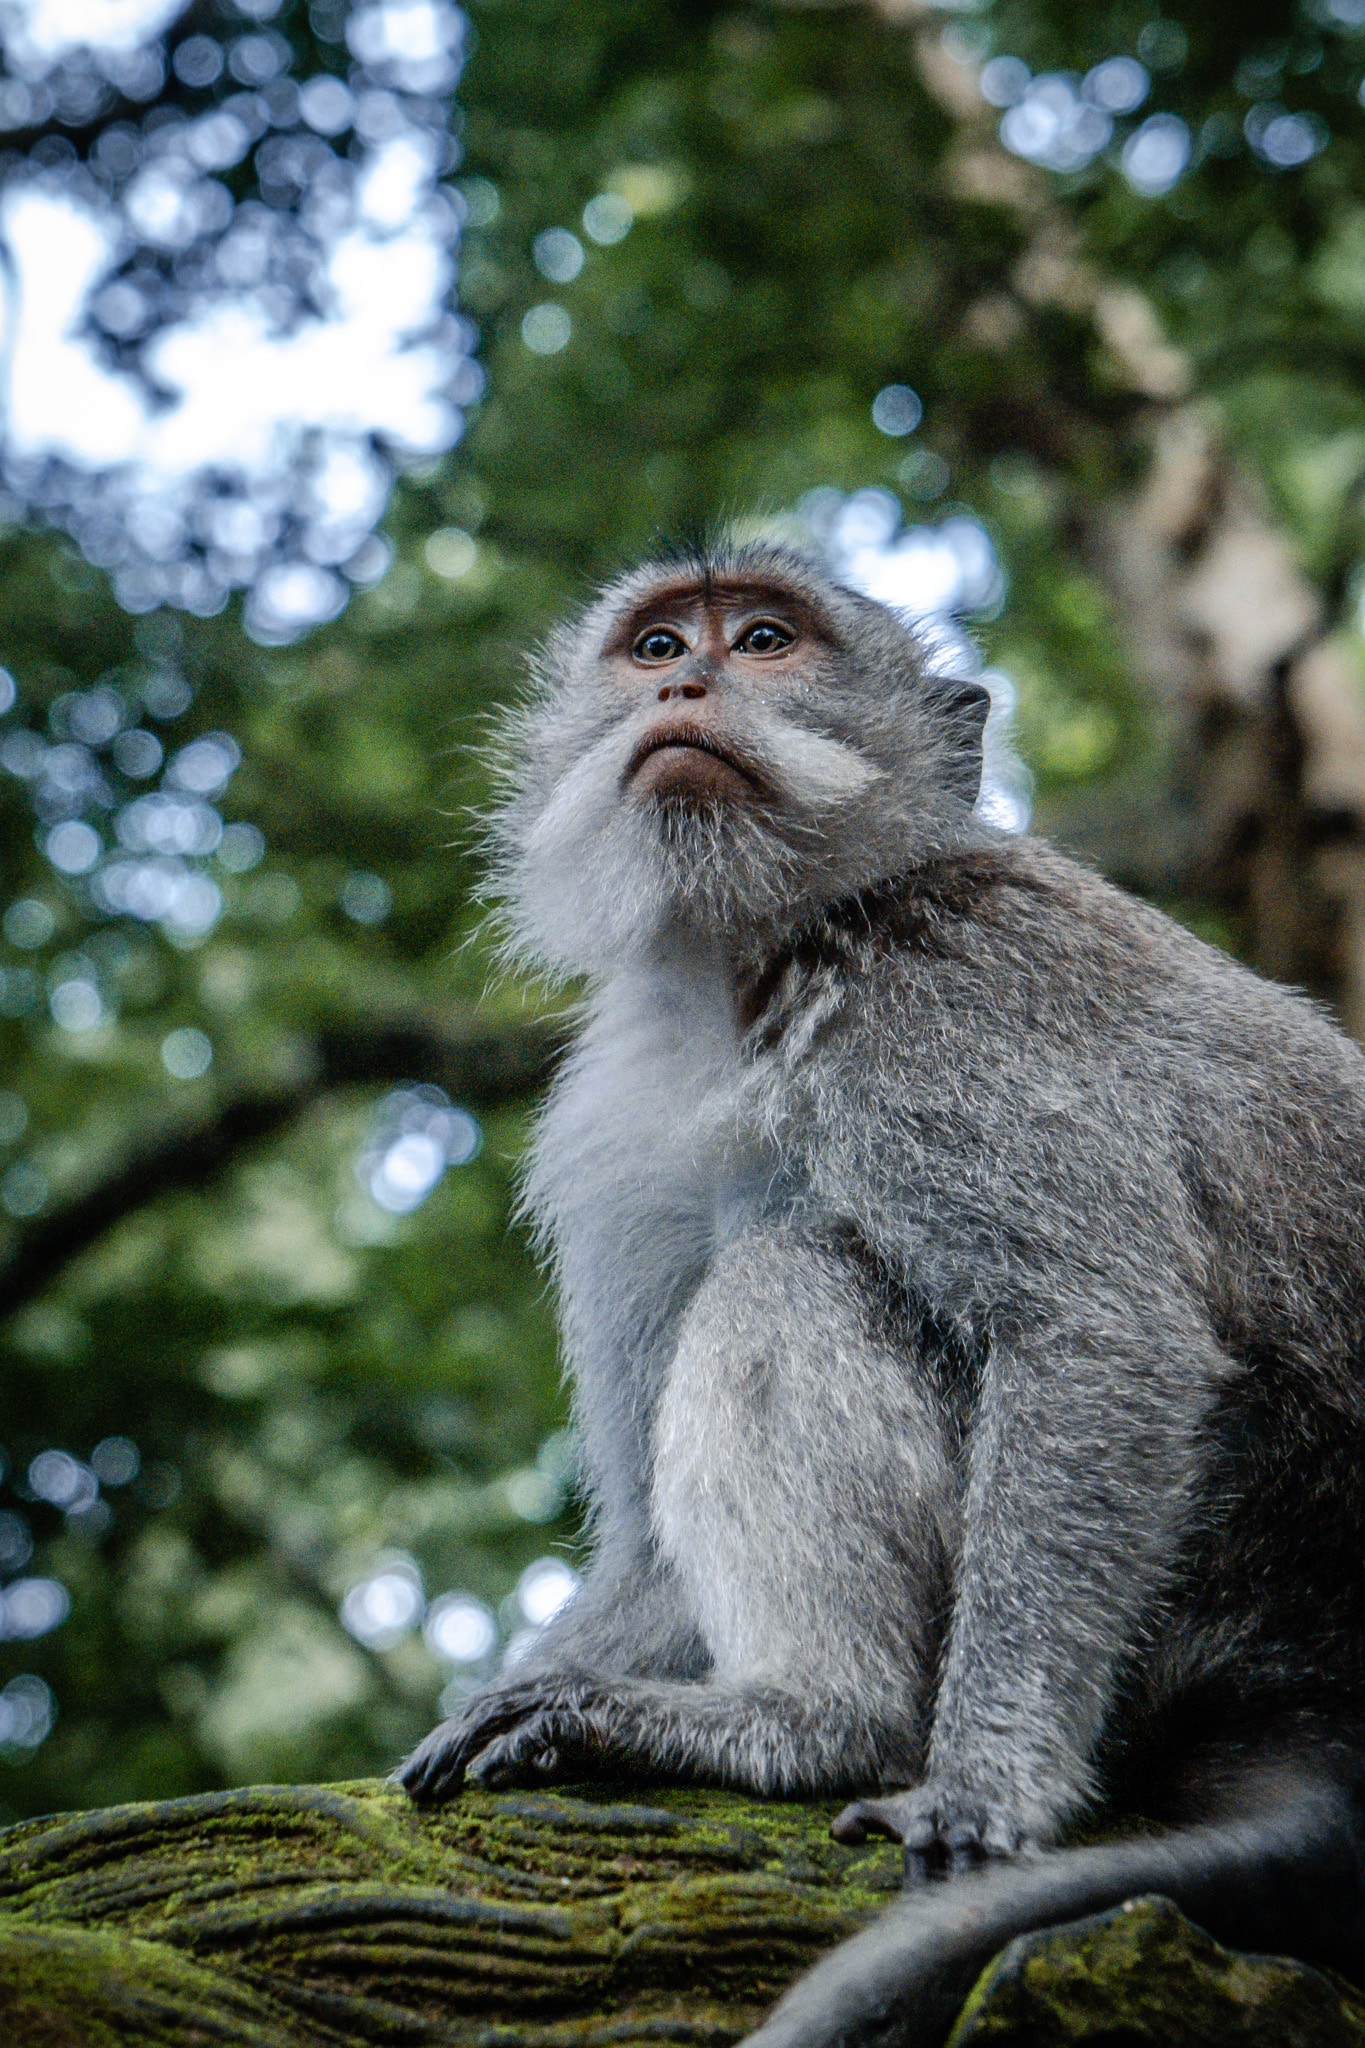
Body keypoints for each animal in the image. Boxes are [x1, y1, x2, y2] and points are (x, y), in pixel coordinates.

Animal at [400, 535, 1365, 2045]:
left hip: (1201, 1574)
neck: (755, 959)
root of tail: (1309, 1675)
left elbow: (1094, 1331)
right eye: (656, 643)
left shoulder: (938, 1011)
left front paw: (986, 1785)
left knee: (788, 1275)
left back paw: (814, 1720)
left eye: (765, 639)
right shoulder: (613, 1127)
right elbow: (645, 1545)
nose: (687, 682)